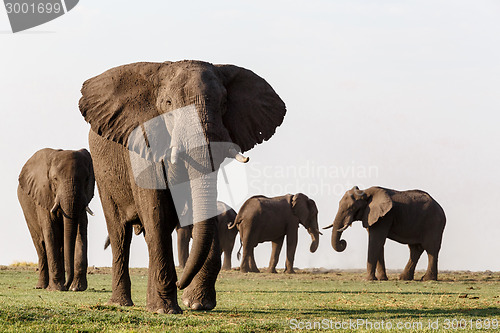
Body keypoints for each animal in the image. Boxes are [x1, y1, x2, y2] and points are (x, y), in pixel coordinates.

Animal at [17, 148, 95, 290]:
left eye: (87, 179)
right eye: (55, 179)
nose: (67, 285)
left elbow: (80, 232)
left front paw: (76, 288)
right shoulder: (43, 194)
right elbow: (51, 232)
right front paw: (57, 289)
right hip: (27, 212)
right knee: (41, 246)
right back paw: (41, 286)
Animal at [80, 59, 288, 312]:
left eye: (224, 104)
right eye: (169, 104)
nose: (180, 284)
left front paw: (197, 304)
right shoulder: (143, 144)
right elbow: (157, 213)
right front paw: (165, 309)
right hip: (103, 173)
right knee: (120, 232)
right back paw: (122, 303)